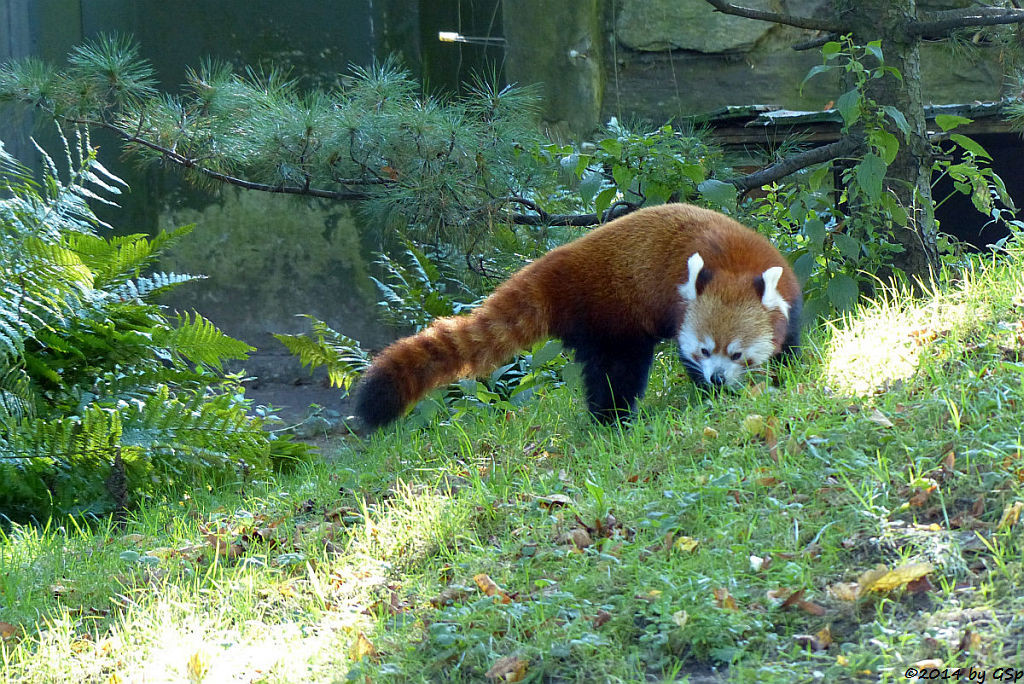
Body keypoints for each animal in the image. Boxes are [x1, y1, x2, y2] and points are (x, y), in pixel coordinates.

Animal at [356, 200, 802, 430]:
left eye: (737, 354)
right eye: (705, 351)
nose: (716, 378)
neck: (731, 264)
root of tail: (552, 268)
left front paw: (786, 372)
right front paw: (714, 395)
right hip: (610, 315)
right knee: (616, 371)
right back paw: (613, 420)